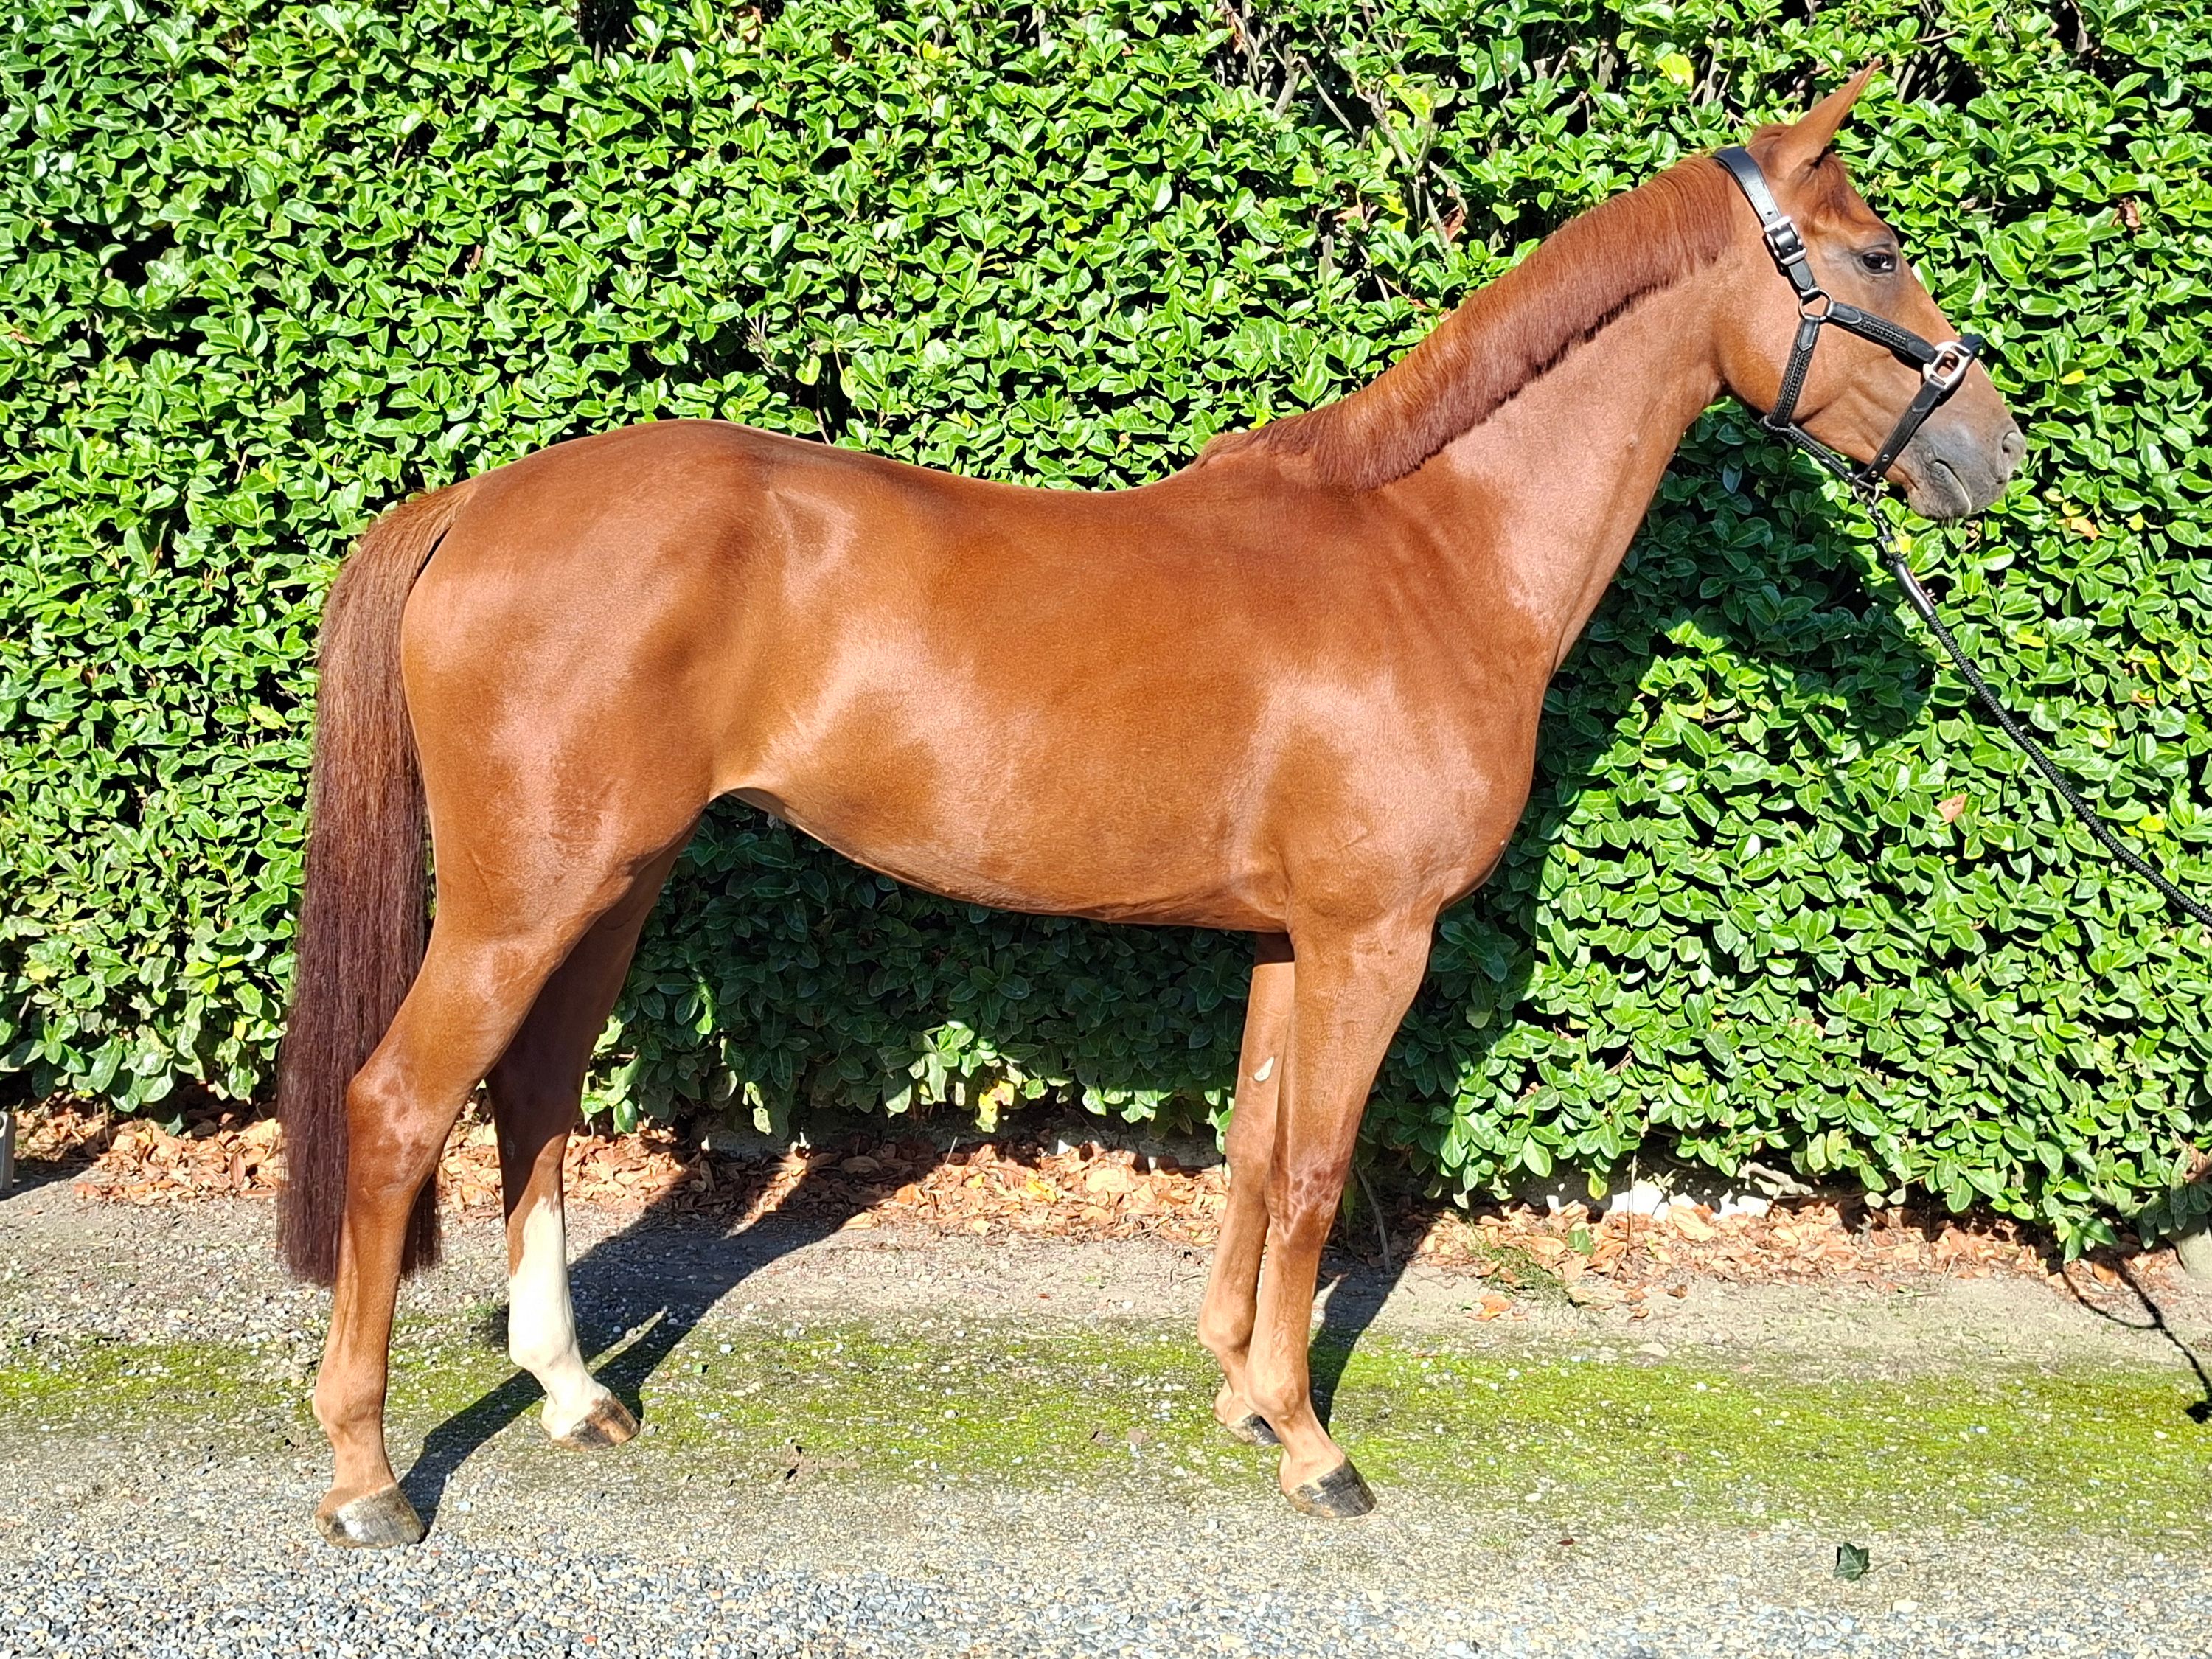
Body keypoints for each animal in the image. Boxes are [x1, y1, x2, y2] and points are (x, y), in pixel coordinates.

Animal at [278, 69, 2024, 1547]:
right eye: (1876, 257)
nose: (1990, 454)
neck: (1431, 553)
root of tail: (476, 503)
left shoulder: (1291, 944)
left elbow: (1254, 1154)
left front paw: (1244, 1395)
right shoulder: (1376, 940)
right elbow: (1318, 1172)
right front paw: (1314, 1447)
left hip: (606, 885)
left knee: (534, 1100)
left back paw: (573, 1394)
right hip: (522, 900)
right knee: (399, 1108)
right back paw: (369, 1476)